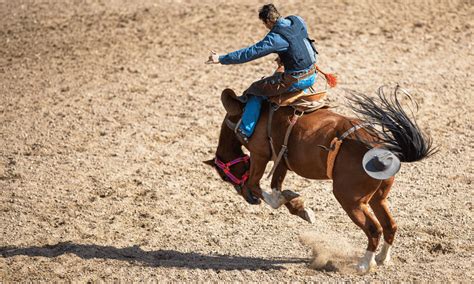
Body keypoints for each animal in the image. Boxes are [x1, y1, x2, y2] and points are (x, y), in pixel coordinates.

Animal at [206, 85, 436, 272]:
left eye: (225, 177)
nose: (248, 200)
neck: (239, 117)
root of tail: (383, 150)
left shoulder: (259, 154)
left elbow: (257, 185)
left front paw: (288, 202)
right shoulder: (282, 160)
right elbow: (277, 186)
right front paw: (300, 207)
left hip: (350, 200)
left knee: (374, 229)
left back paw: (364, 265)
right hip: (378, 198)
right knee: (389, 226)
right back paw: (382, 258)